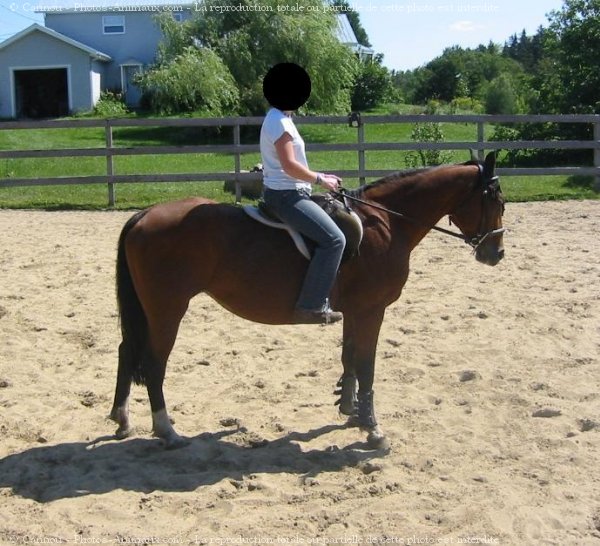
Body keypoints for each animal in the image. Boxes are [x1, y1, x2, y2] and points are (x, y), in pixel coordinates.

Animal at [110, 151, 504, 448]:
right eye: (497, 200)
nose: (496, 253)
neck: (386, 224)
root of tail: (145, 214)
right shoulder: (372, 310)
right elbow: (367, 364)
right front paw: (373, 428)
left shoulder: (355, 311)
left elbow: (349, 357)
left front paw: (349, 409)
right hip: (166, 309)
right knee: (154, 362)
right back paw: (167, 430)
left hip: (149, 309)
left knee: (126, 351)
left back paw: (122, 419)